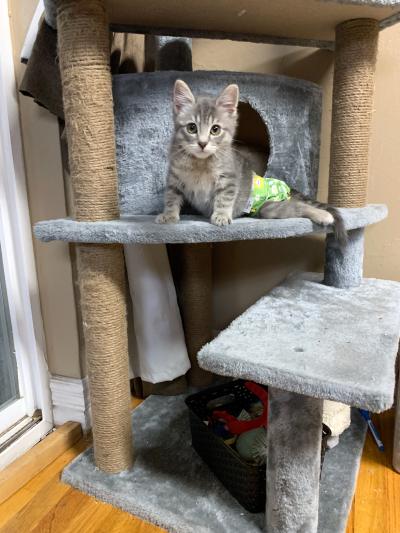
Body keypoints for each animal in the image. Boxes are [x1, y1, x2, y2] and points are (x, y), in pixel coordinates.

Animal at [156, 78, 346, 243]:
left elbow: (224, 197)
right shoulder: (174, 177)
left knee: (298, 206)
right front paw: (169, 215)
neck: (200, 163)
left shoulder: (229, 177)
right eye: (191, 128)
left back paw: (324, 215)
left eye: (215, 129)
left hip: (269, 208)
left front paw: (221, 215)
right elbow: (171, 196)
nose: (202, 143)